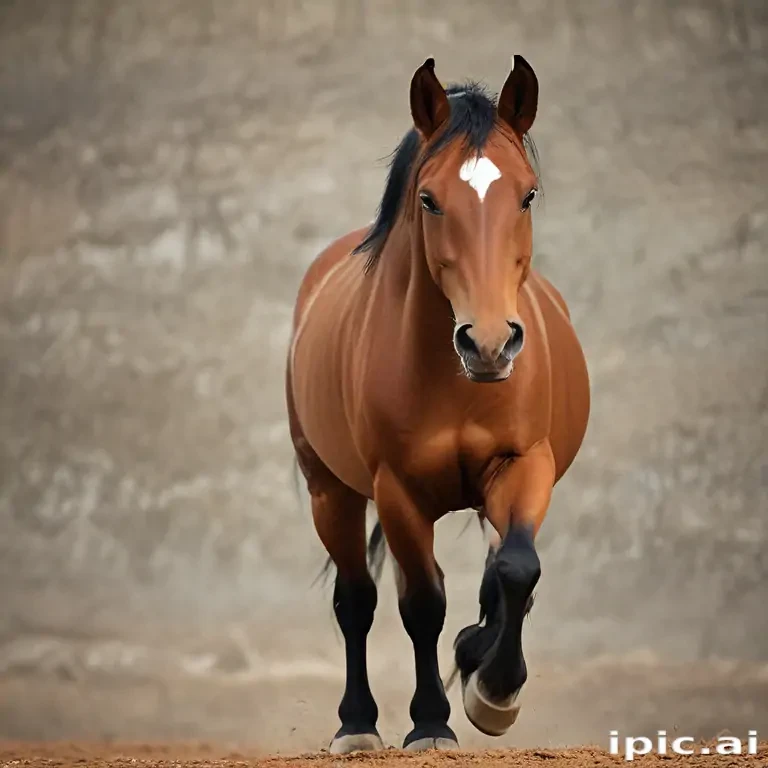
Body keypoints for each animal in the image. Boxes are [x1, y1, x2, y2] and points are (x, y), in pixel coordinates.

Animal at [286, 55, 590, 752]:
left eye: (527, 194)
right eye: (429, 199)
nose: (489, 342)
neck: (454, 382)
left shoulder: (524, 465)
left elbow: (517, 570)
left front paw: (493, 689)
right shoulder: (396, 489)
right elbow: (422, 605)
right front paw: (430, 722)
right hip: (330, 492)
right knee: (358, 600)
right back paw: (357, 723)